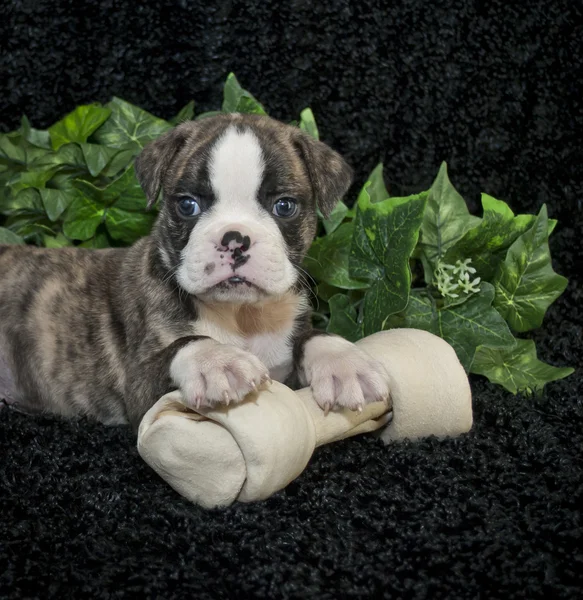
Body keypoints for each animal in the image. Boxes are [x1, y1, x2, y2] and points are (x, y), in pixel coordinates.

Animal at [1, 113, 392, 432]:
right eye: (187, 205)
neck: (241, 316)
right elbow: (185, 344)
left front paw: (343, 362)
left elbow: (310, 336)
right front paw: (217, 361)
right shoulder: (138, 388)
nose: (235, 239)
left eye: (284, 206)